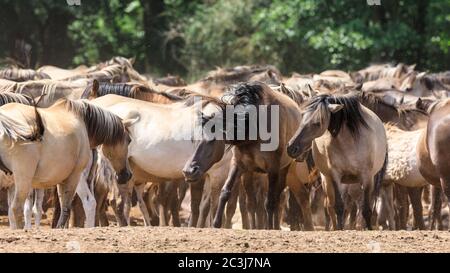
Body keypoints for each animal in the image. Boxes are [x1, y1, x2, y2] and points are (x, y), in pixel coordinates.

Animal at [0, 99, 132, 227]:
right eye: (129, 140)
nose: (128, 175)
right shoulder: (72, 176)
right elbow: (63, 208)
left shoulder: (59, 179)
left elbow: (57, 207)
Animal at [183, 81, 302, 227]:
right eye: (193, 139)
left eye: (212, 140)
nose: (189, 171)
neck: (254, 127)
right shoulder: (238, 164)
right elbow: (225, 192)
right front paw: (216, 224)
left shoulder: (273, 168)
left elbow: (269, 202)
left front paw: (269, 227)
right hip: (249, 174)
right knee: (252, 202)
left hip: (283, 169)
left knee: (276, 198)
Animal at [288, 92, 386, 228]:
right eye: (302, 117)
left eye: (317, 123)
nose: (291, 148)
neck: (350, 142)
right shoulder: (335, 175)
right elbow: (339, 207)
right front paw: (339, 228)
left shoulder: (367, 177)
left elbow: (366, 209)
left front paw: (369, 228)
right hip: (328, 182)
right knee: (330, 207)